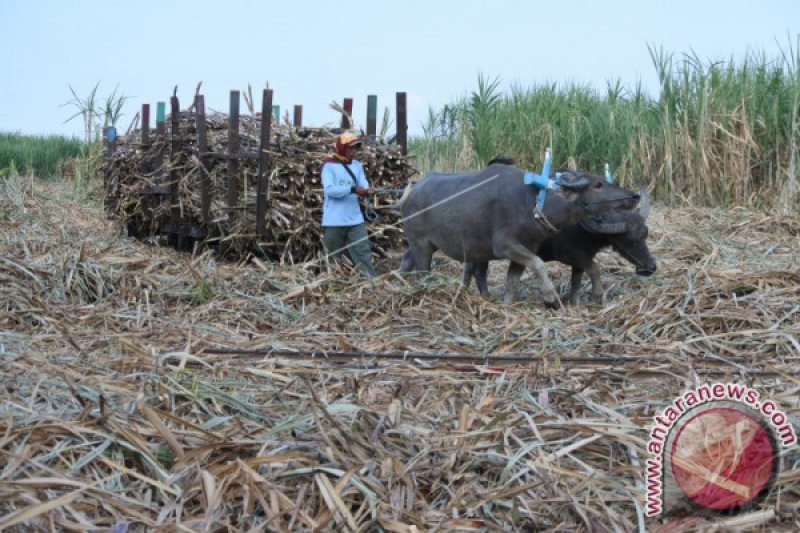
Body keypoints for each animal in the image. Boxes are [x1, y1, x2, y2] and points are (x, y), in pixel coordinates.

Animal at [396, 159, 640, 308]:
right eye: (598, 184)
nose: (634, 195)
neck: (533, 203)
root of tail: (411, 190)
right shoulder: (505, 245)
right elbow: (539, 264)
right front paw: (551, 297)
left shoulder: (524, 250)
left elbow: (512, 281)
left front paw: (506, 304)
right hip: (421, 245)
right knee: (423, 272)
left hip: (419, 245)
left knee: (407, 262)